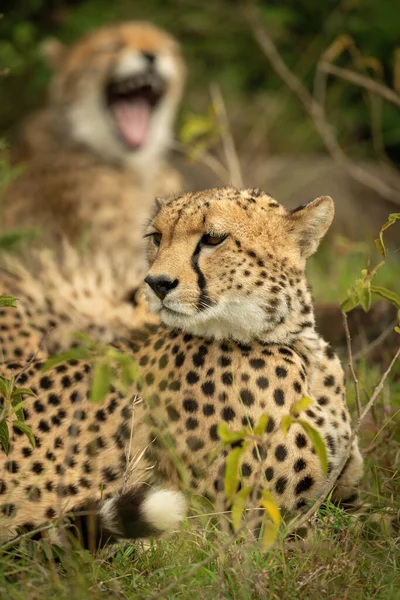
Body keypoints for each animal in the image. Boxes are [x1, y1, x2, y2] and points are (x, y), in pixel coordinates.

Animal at [0, 190, 362, 548]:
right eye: (157, 238)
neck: (293, 343)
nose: (157, 283)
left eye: (213, 238)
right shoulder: (255, 529)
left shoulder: (342, 497)